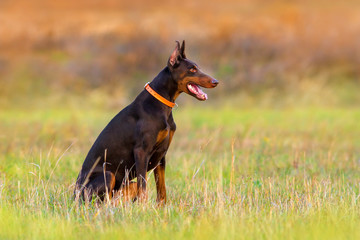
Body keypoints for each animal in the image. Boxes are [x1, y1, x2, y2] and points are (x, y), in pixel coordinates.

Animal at [74, 40, 218, 204]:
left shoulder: (161, 155)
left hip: (128, 184)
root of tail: (73, 195)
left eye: (197, 67)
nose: (216, 82)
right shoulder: (141, 151)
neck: (161, 104)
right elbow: (143, 187)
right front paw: (143, 207)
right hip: (107, 175)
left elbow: (161, 189)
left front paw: (161, 207)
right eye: (192, 69)